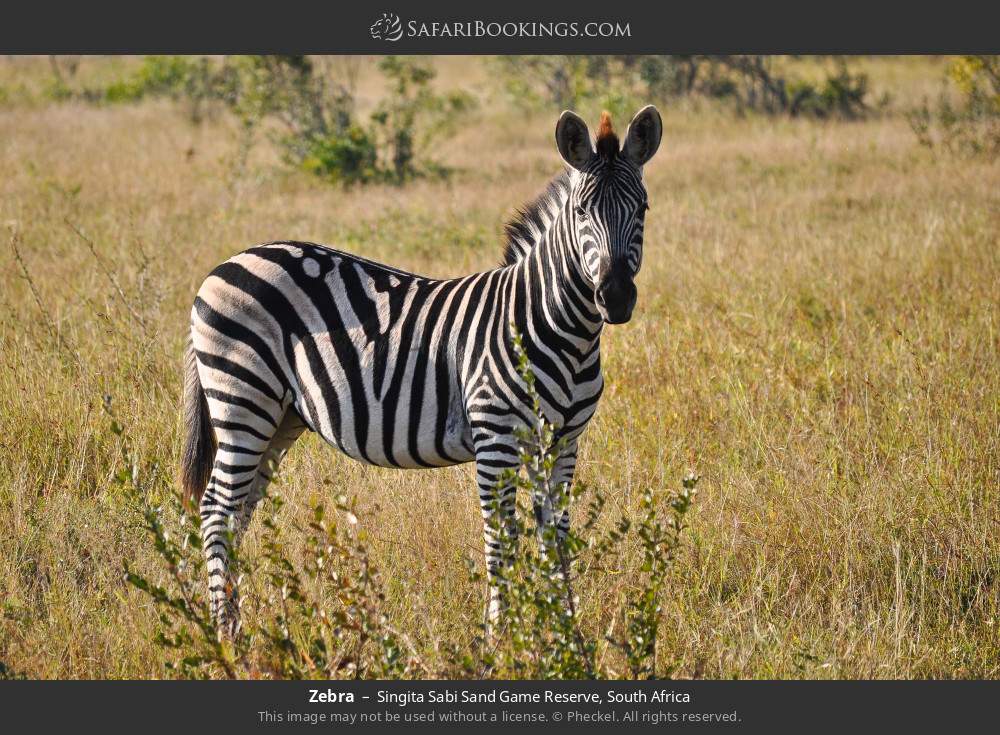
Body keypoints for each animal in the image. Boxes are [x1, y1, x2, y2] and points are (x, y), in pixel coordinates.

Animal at [181, 105, 663, 638]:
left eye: (642, 209)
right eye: (580, 212)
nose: (615, 298)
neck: (556, 328)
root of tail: (226, 263)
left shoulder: (563, 441)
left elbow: (554, 535)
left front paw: (565, 632)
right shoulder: (495, 439)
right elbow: (502, 539)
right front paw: (501, 638)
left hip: (280, 416)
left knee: (239, 512)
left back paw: (238, 620)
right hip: (243, 400)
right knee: (216, 509)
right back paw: (225, 632)